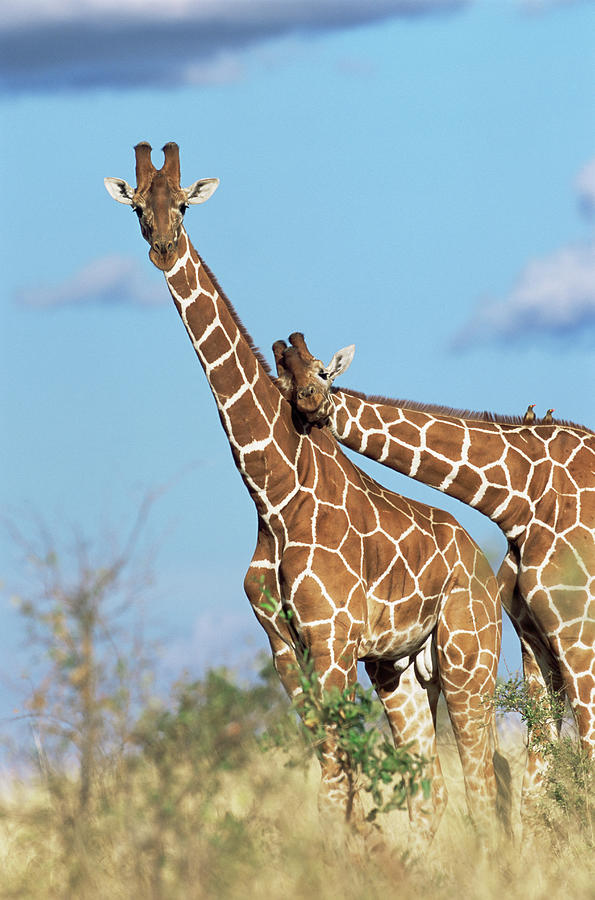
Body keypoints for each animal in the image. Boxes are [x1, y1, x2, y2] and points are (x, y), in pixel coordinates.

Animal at [106, 142, 508, 844]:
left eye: (183, 201)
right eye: (138, 205)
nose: (162, 245)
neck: (273, 494)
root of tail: (483, 568)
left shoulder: (332, 639)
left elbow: (338, 772)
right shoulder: (285, 645)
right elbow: (332, 767)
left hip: (468, 659)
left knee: (481, 784)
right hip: (399, 669)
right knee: (429, 786)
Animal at [274, 330, 595, 808]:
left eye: (322, 371)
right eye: (285, 379)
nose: (312, 402)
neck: (522, 496)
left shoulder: (577, 628)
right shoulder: (533, 635)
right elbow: (536, 777)